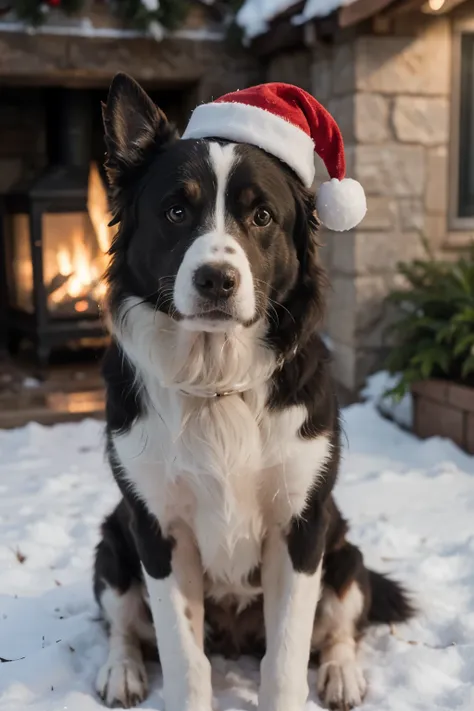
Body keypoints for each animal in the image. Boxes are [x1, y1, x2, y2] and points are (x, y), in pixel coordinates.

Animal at [91, 73, 412, 711]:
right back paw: (122, 669)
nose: (216, 279)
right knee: (122, 623)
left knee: (341, 624)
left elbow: (285, 659)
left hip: (343, 548)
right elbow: (183, 657)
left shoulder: (302, 523)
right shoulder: (156, 527)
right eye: (175, 210)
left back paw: (341, 673)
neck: (216, 383)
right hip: (113, 540)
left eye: (261, 215)